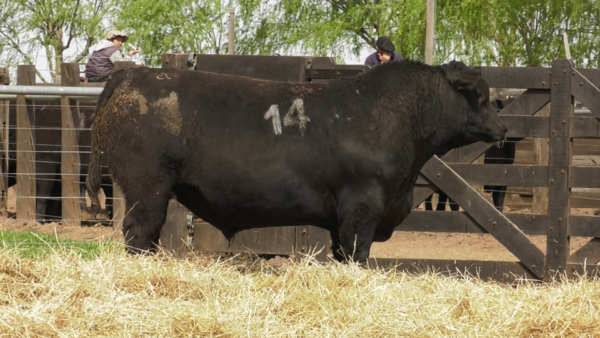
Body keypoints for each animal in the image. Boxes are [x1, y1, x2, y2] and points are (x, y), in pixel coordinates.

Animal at [85, 60, 506, 262]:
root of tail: (132, 74)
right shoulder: (362, 207)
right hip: (147, 187)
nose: (501, 127)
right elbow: (359, 254)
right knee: (139, 233)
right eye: (481, 96)